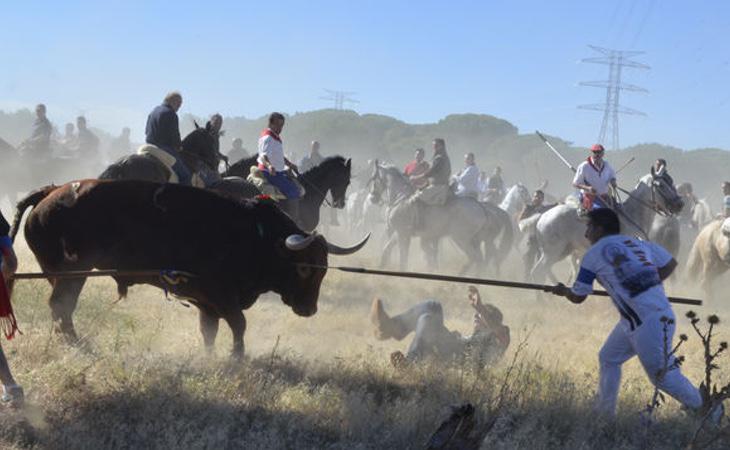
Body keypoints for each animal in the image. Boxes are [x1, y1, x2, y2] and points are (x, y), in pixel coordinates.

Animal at [13, 179, 370, 358]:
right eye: (304, 269)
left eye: (324, 268)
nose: (309, 309)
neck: (255, 235)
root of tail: (50, 193)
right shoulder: (221, 295)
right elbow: (239, 325)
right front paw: (236, 358)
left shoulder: (205, 302)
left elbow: (209, 331)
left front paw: (209, 358)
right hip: (73, 274)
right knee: (62, 306)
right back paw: (77, 344)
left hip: (61, 275)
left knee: (60, 308)